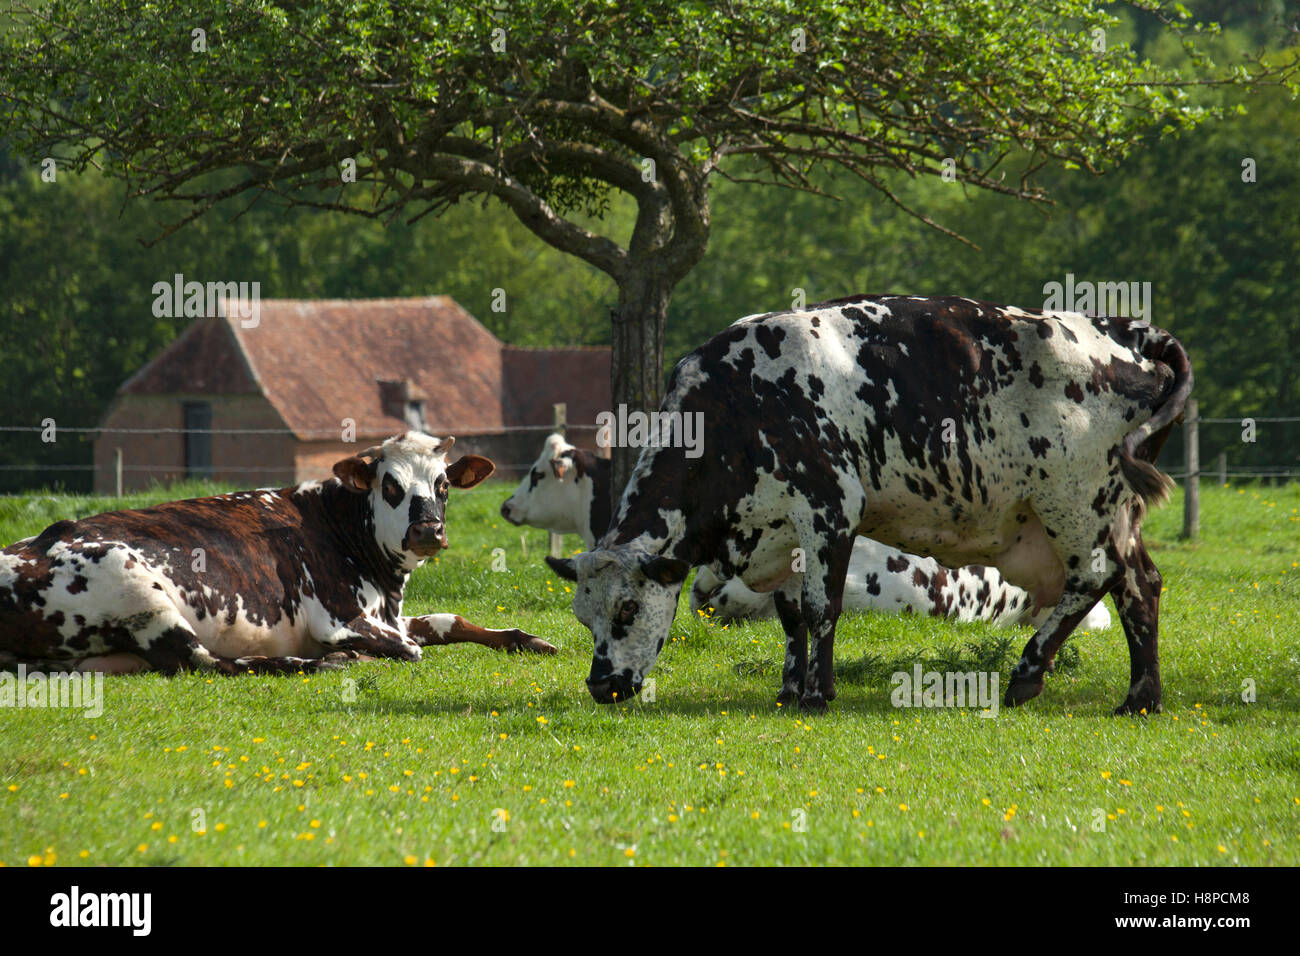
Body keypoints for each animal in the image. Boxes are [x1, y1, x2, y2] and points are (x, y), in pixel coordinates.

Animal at [0, 432, 555, 675]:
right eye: (391, 485)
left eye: (443, 485)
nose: (428, 531)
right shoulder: (342, 619)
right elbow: (411, 647)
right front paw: (344, 654)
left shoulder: (389, 615)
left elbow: (448, 621)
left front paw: (528, 639)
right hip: (140, 593)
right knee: (212, 662)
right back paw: (325, 663)